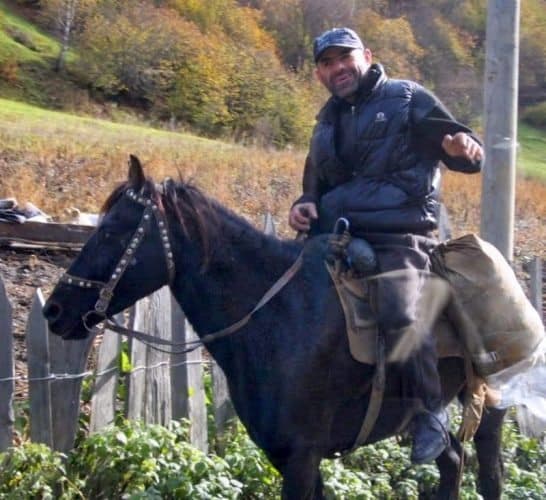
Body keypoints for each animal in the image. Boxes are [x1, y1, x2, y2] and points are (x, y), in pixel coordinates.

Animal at [41, 157, 502, 500]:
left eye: (112, 231)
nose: (55, 311)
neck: (278, 316)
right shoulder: (289, 457)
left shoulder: (301, 456)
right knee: (454, 460)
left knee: (488, 469)